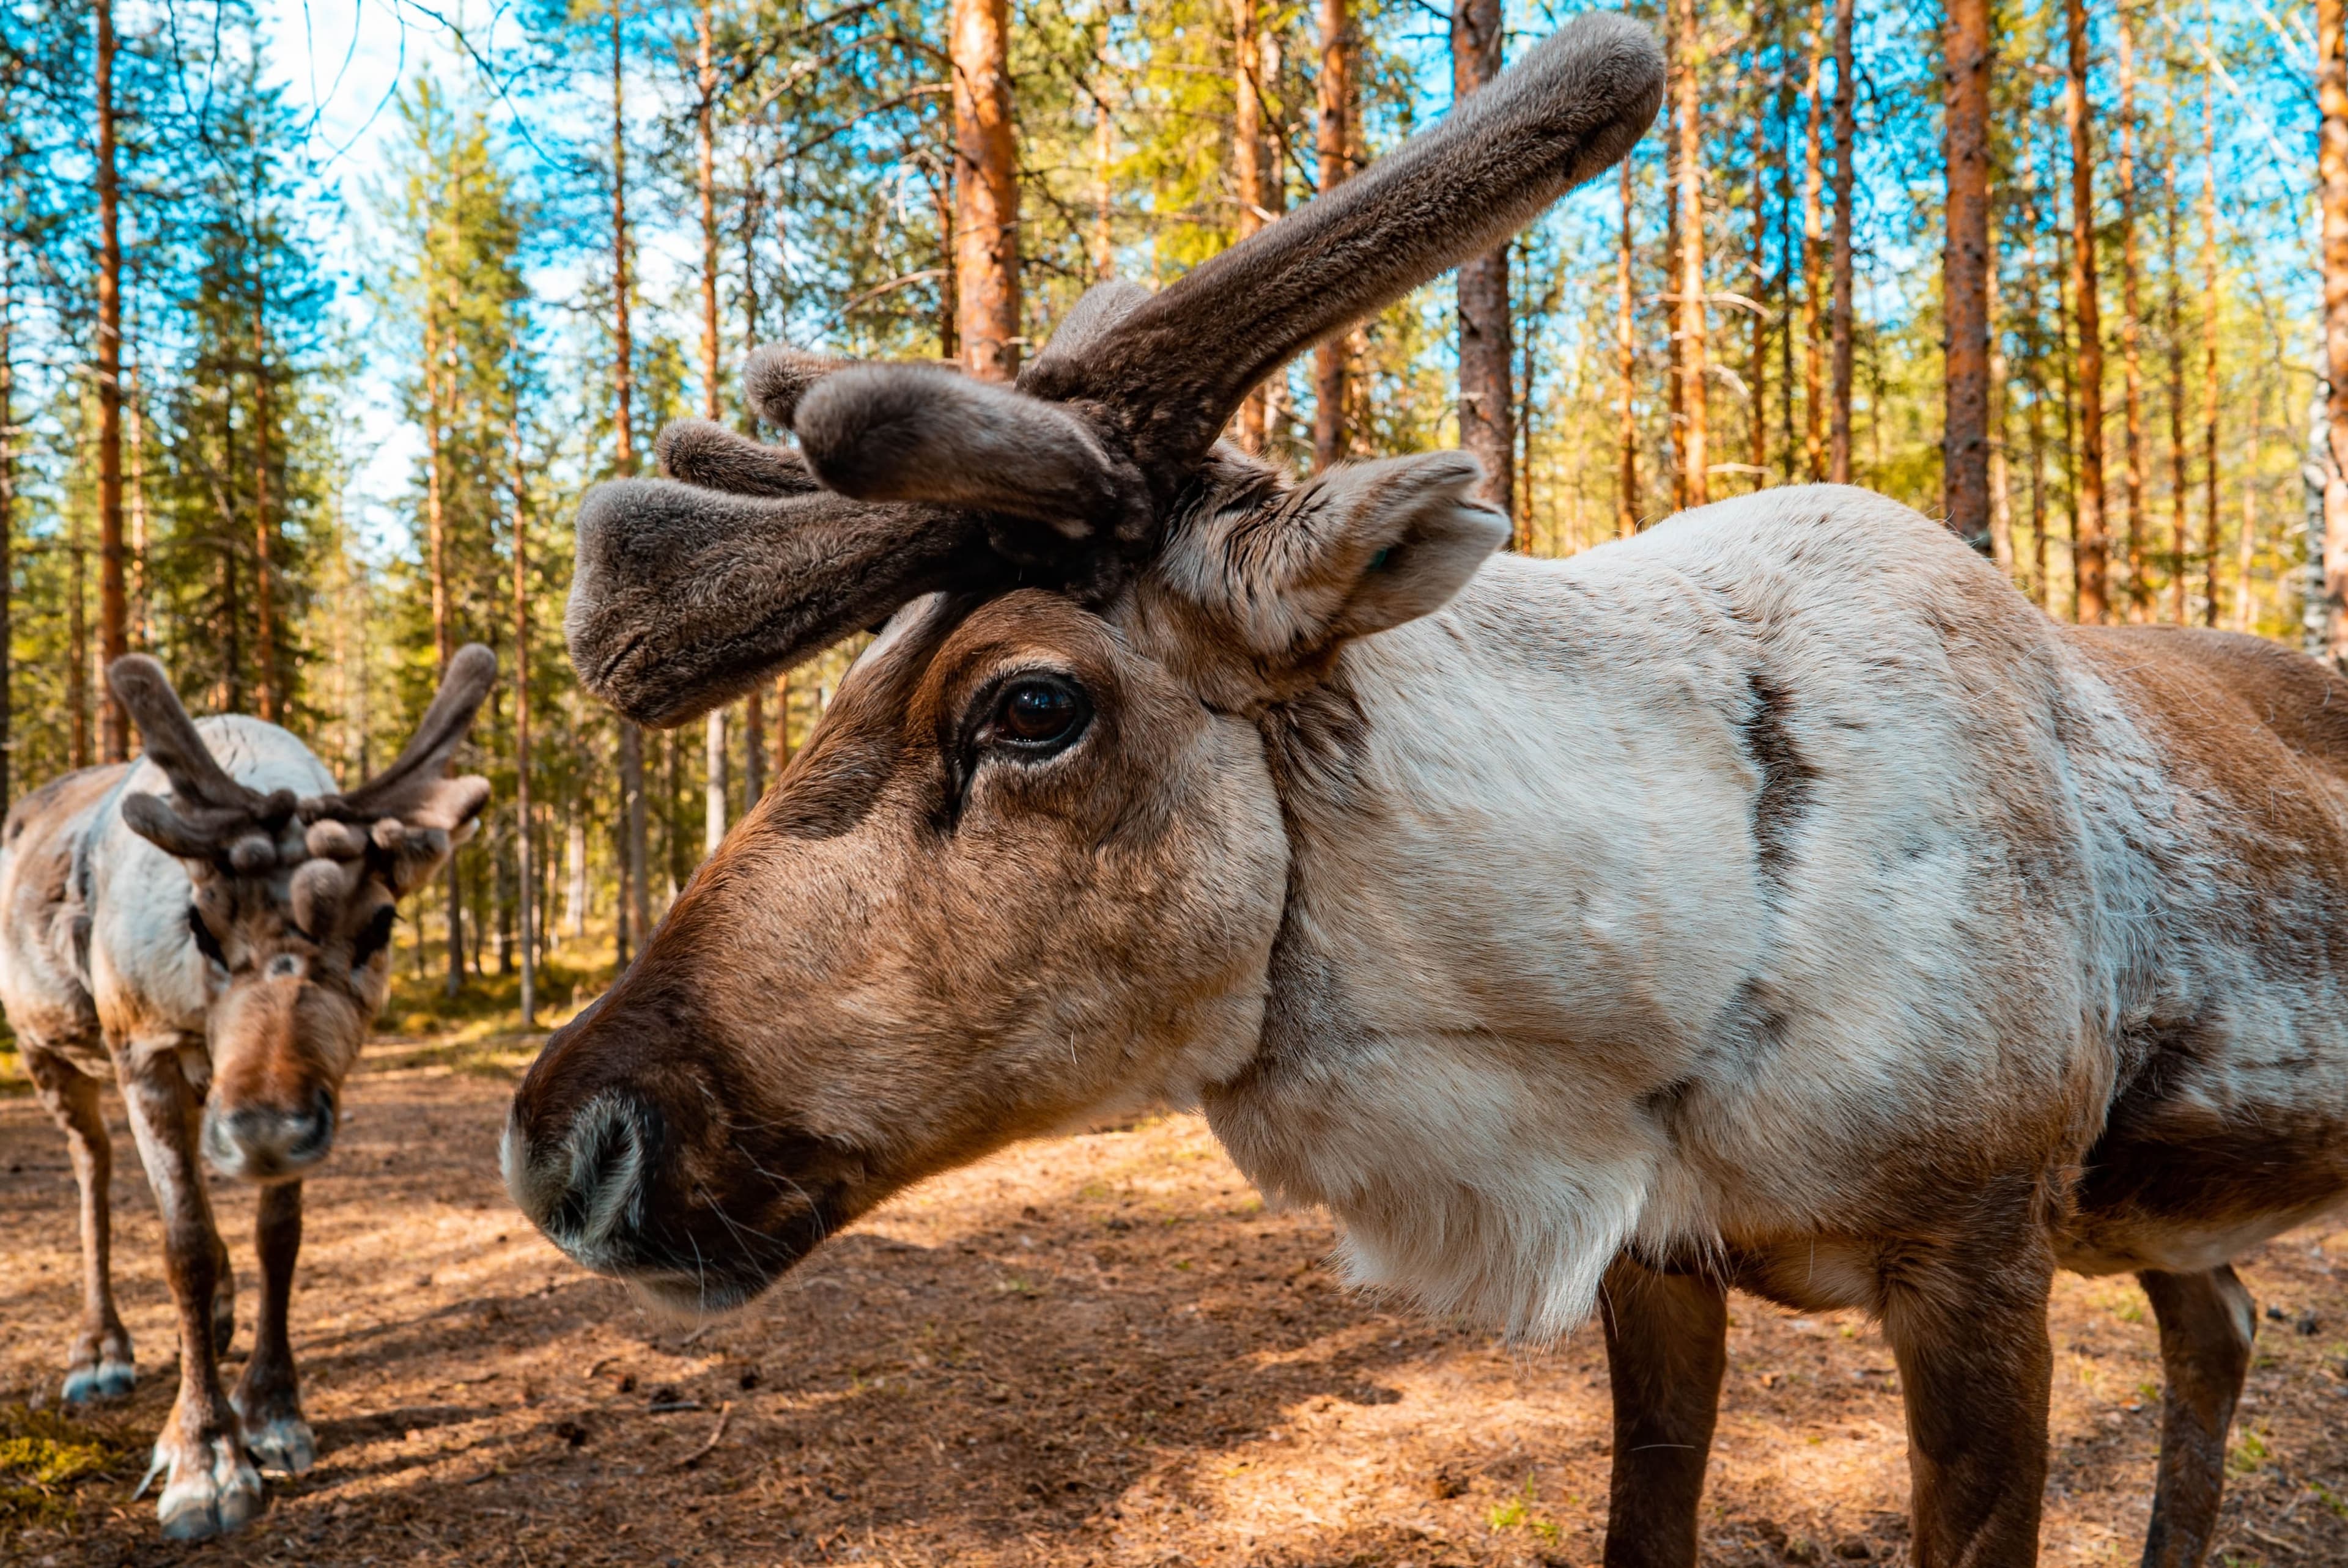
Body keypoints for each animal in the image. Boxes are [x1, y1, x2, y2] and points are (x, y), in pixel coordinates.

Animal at [0, 648, 495, 1540]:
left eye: (380, 924)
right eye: (199, 924)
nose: (263, 1129)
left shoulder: (310, 1092)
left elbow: (279, 1238)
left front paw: (269, 1412)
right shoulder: (145, 1053)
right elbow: (185, 1247)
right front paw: (205, 1458)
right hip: (44, 1049)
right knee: (92, 1165)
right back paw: (99, 1352)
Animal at [502, 14, 2348, 1566]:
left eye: (1029, 704)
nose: (564, 1138)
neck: (1644, 988)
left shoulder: (1980, 1250)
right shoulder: (1661, 1262)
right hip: (2170, 1219)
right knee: (2225, 1323)